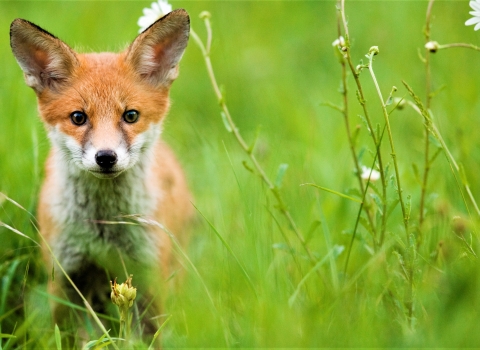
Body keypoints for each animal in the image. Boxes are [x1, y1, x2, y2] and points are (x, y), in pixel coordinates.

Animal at [7, 8, 191, 336]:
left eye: (130, 115)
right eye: (78, 118)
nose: (106, 157)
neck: (104, 229)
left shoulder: (151, 276)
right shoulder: (66, 277)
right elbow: (68, 335)